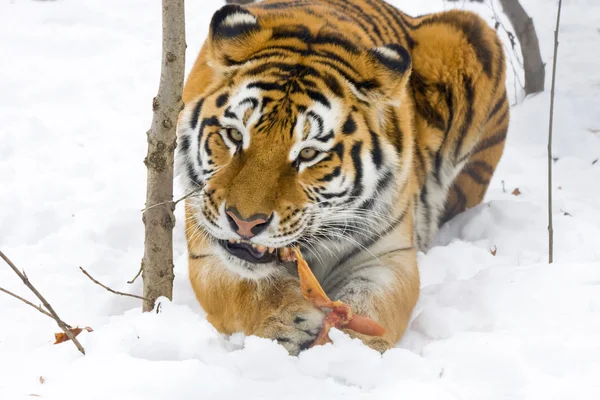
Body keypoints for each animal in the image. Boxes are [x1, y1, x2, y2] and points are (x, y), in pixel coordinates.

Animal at [173, 0, 506, 356]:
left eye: (307, 154)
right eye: (235, 135)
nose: (245, 223)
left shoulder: (388, 257)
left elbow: (371, 303)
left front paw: (356, 349)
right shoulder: (208, 248)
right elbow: (251, 289)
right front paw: (287, 324)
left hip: (470, 33)